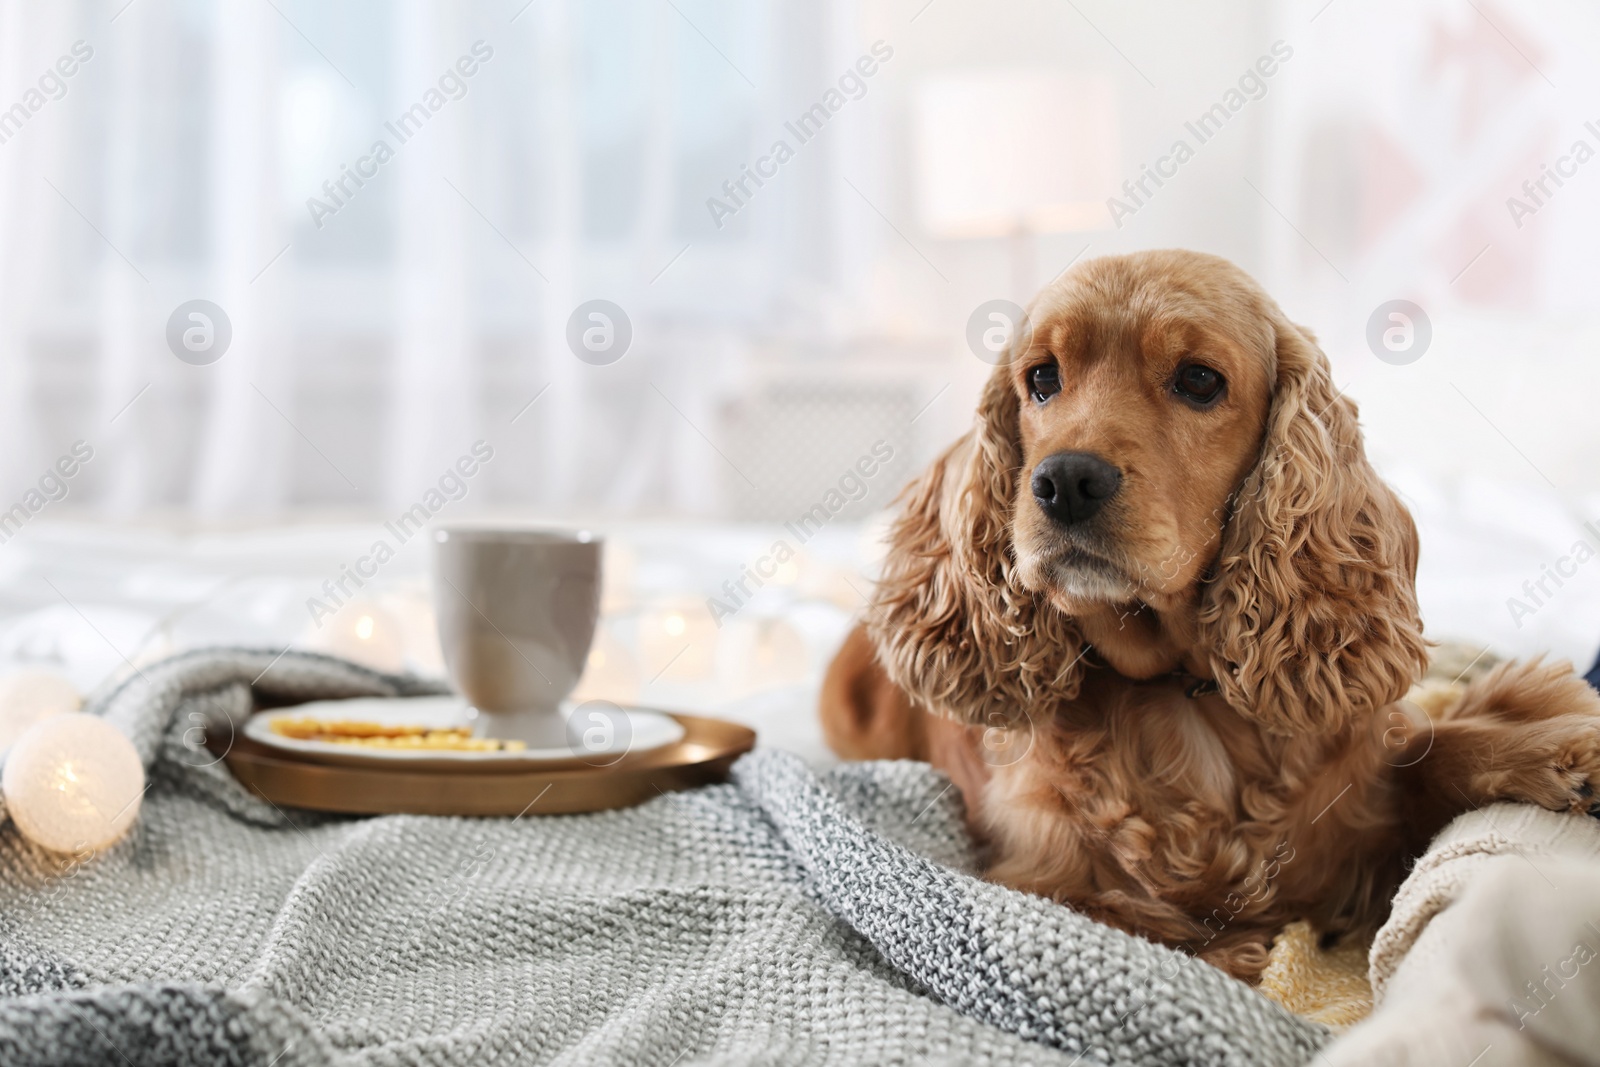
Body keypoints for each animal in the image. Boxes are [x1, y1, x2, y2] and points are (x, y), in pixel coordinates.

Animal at [825, 246, 1600, 979]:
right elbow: (1150, 915)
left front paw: (1551, 746)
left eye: (1199, 380)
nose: (1064, 481)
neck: (1180, 694)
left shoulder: (1350, 803)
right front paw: (1243, 945)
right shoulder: (1035, 878)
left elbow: (1424, 755)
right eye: (1042, 379)